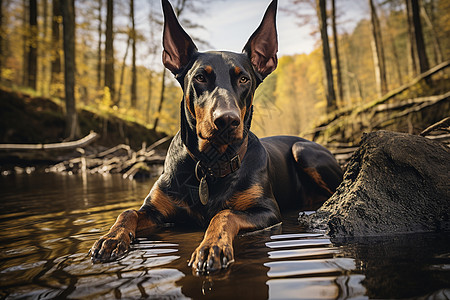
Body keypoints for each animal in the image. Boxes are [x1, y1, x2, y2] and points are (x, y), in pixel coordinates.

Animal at [89, 0, 342, 274]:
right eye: (200, 77)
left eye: (244, 78)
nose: (227, 120)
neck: (210, 164)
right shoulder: (156, 210)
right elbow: (128, 211)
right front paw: (111, 238)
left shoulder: (268, 211)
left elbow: (224, 214)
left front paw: (212, 247)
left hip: (303, 151)